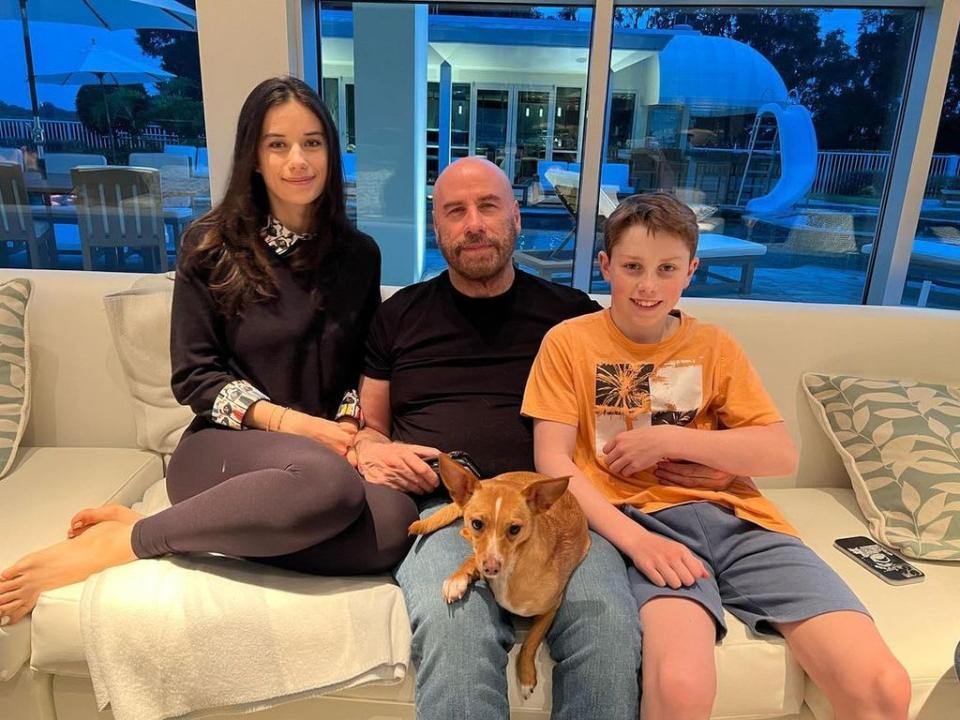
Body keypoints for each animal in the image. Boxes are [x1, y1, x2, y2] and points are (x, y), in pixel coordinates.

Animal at [406, 456, 588, 696]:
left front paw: (526, 675)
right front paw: (460, 578)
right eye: (477, 523)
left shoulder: (550, 610)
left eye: (515, 529)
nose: (491, 568)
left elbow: (530, 641)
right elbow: (474, 558)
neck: (512, 570)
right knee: (464, 536)